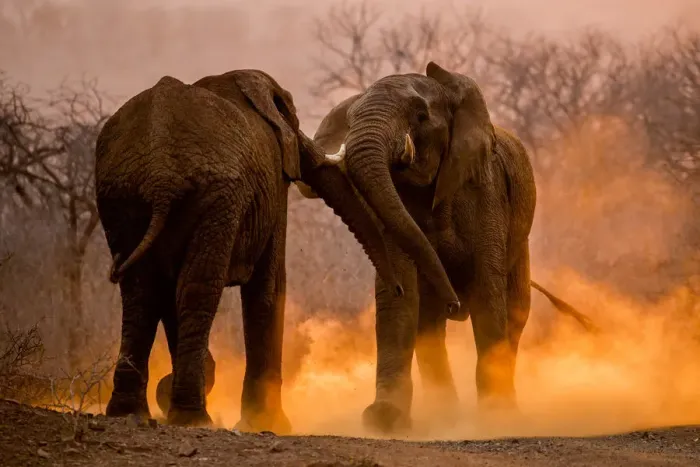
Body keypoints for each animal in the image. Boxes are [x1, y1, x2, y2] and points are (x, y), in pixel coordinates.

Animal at [95, 69, 460, 431]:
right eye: (294, 120)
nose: (398, 288)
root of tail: (161, 181)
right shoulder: (273, 173)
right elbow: (269, 286)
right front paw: (267, 423)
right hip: (211, 201)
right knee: (193, 288)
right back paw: (192, 418)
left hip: (123, 195)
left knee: (142, 291)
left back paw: (133, 412)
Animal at [296, 61, 597, 433]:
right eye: (350, 121)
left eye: (421, 116)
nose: (455, 304)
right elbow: (401, 297)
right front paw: (384, 419)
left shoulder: (485, 192)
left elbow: (487, 292)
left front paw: (495, 416)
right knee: (430, 325)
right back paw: (445, 413)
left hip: (521, 239)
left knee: (515, 310)